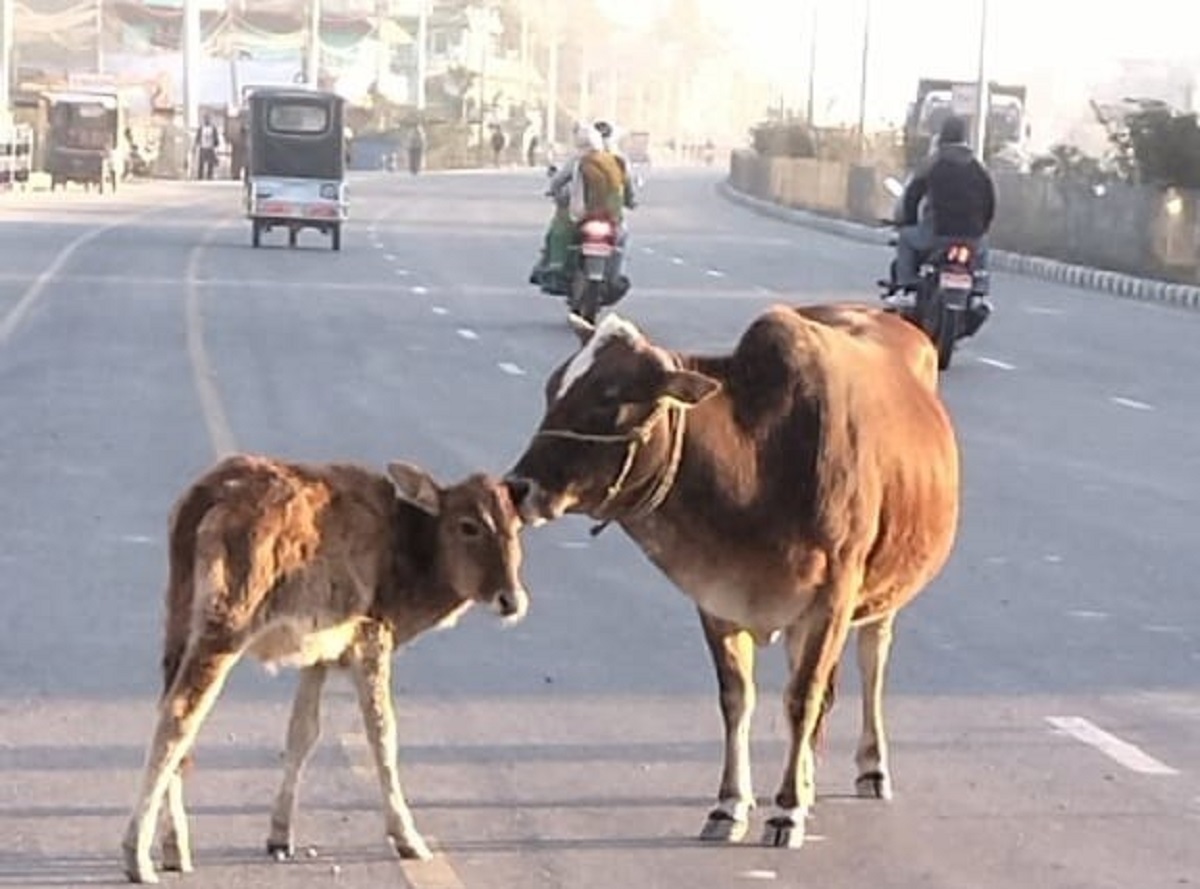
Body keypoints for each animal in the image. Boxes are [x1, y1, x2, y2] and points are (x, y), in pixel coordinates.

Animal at [121, 453, 530, 883]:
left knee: (169, 708)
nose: (511, 599)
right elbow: (383, 734)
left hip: (179, 614)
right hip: (228, 618)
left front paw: (280, 835)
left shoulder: (318, 651)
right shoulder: (371, 633)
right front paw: (408, 836)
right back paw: (137, 855)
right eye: (468, 525)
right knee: (180, 715)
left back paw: (175, 846)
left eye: (516, 526)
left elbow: (303, 732)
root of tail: (204, 498)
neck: (408, 565)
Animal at [504, 304, 955, 844]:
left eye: (608, 401)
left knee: (871, 664)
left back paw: (870, 767)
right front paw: (730, 804)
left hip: (882, 597)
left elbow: (802, 699)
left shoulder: (833, 598)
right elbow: (738, 698)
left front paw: (786, 811)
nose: (517, 487)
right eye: (553, 388)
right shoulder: (718, 597)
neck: (759, 457)